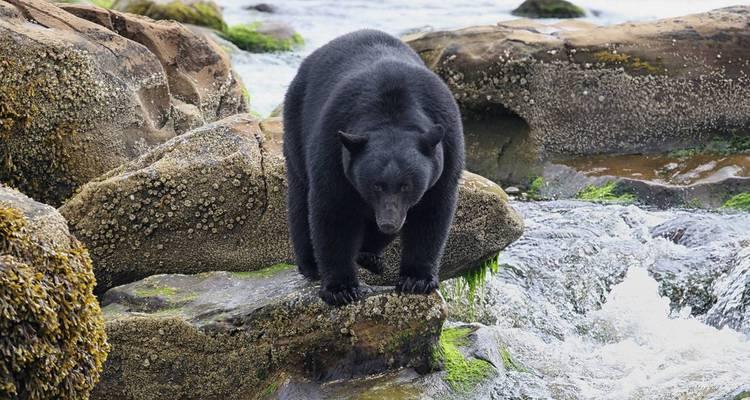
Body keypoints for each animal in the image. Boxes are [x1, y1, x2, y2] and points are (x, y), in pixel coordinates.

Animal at [286, 29, 468, 304]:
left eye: (406, 185)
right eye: (376, 185)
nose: (389, 222)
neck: (392, 112)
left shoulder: (447, 149)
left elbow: (432, 212)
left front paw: (417, 279)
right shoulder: (332, 144)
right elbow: (333, 210)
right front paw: (341, 289)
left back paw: (369, 254)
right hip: (296, 125)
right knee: (299, 197)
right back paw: (311, 264)